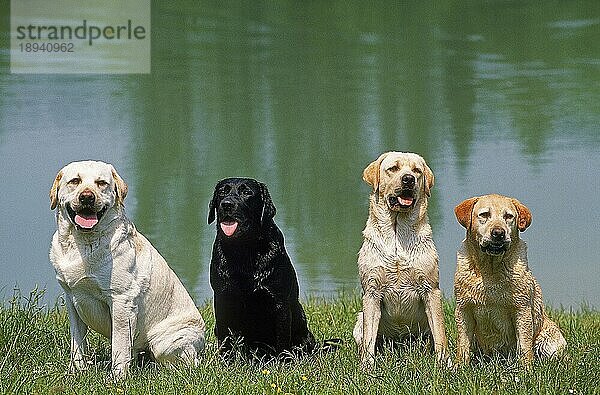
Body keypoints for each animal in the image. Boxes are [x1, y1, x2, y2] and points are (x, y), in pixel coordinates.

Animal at [207, 178, 316, 360]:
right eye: (222, 192)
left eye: (246, 192)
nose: (226, 204)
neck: (244, 250)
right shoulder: (222, 298)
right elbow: (225, 336)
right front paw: (226, 360)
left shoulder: (279, 302)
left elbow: (282, 339)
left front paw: (283, 362)